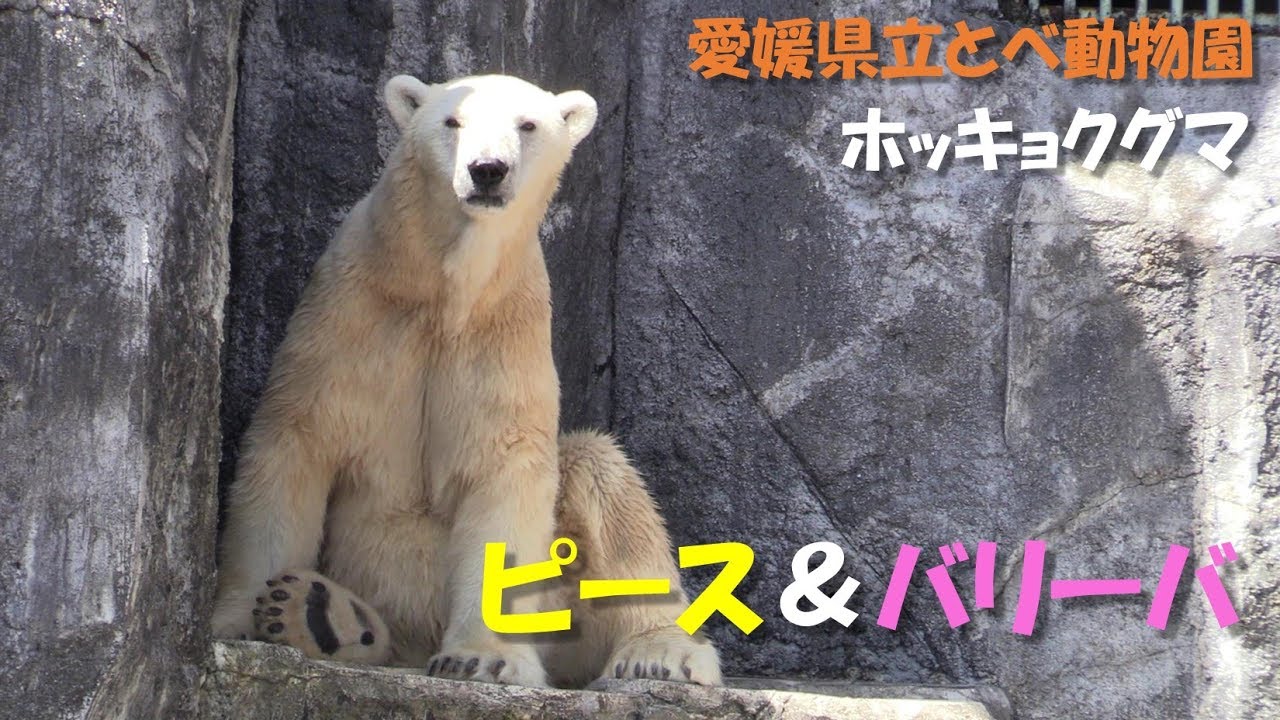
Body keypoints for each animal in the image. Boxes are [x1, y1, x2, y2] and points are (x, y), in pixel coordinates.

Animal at [211, 73, 721, 689]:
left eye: (528, 125)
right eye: (453, 121)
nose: (487, 170)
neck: (444, 292)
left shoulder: (504, 332)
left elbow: (504, 473)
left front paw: (481, 657)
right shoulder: (351, 316)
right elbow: (296, 441)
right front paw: (243, 618)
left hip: (566, 614)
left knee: (599, 472)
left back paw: (660, 652)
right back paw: (325, 616)